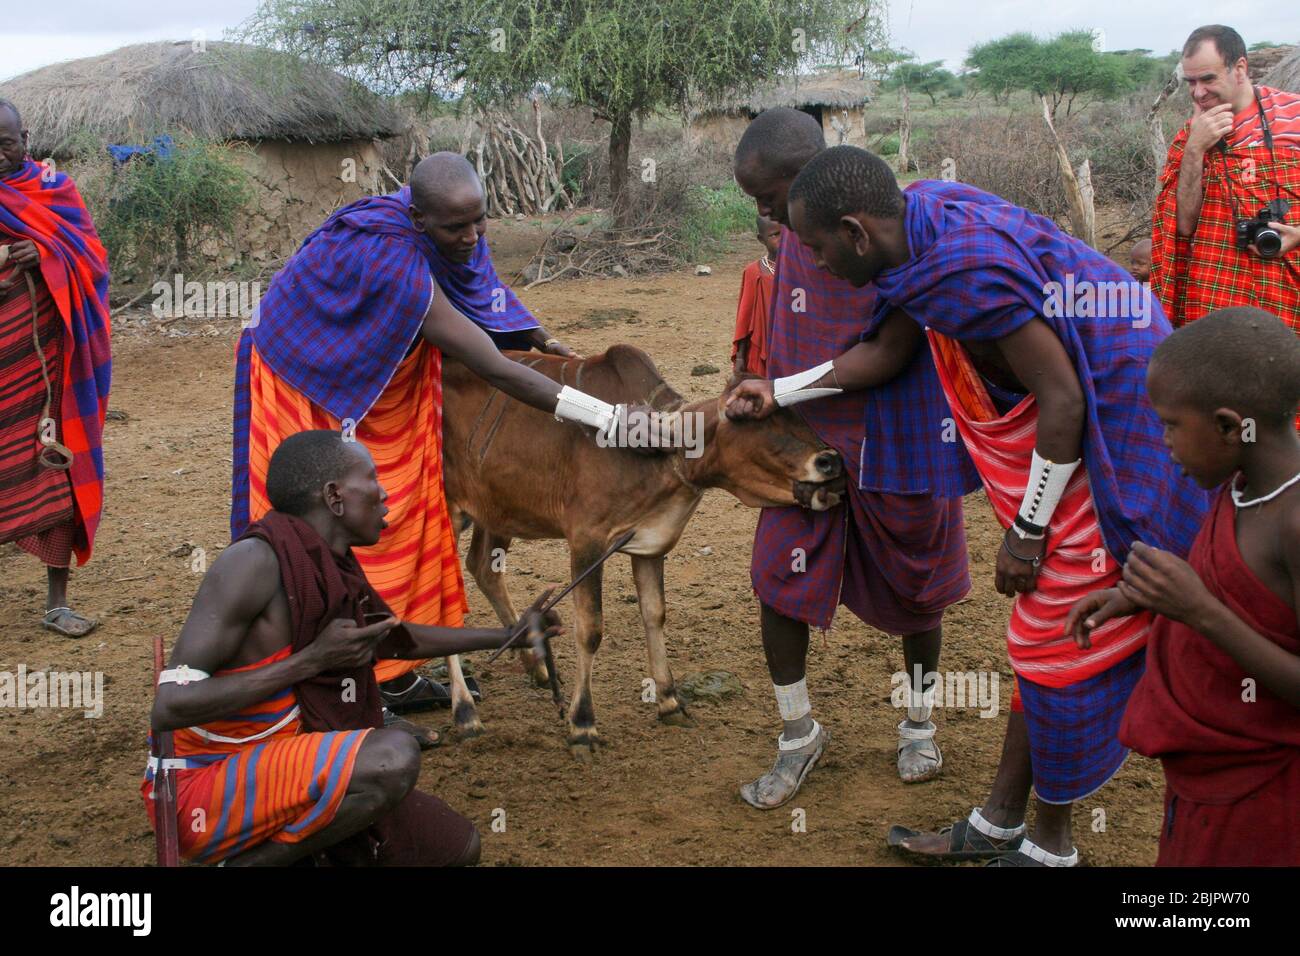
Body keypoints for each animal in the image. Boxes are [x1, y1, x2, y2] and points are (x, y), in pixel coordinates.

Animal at [441, 348, 847, 759]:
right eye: (754, 419)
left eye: (797, 416)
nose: (831, 461)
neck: (665, 457)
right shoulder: (587, 540)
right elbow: (590, 630)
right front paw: (582, 725)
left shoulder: (652, 543)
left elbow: (654, 614)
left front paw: (669, 700)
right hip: (449, 512)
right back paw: (466, 714)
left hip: (496, 508)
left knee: (484, 567)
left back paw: (533, 662)